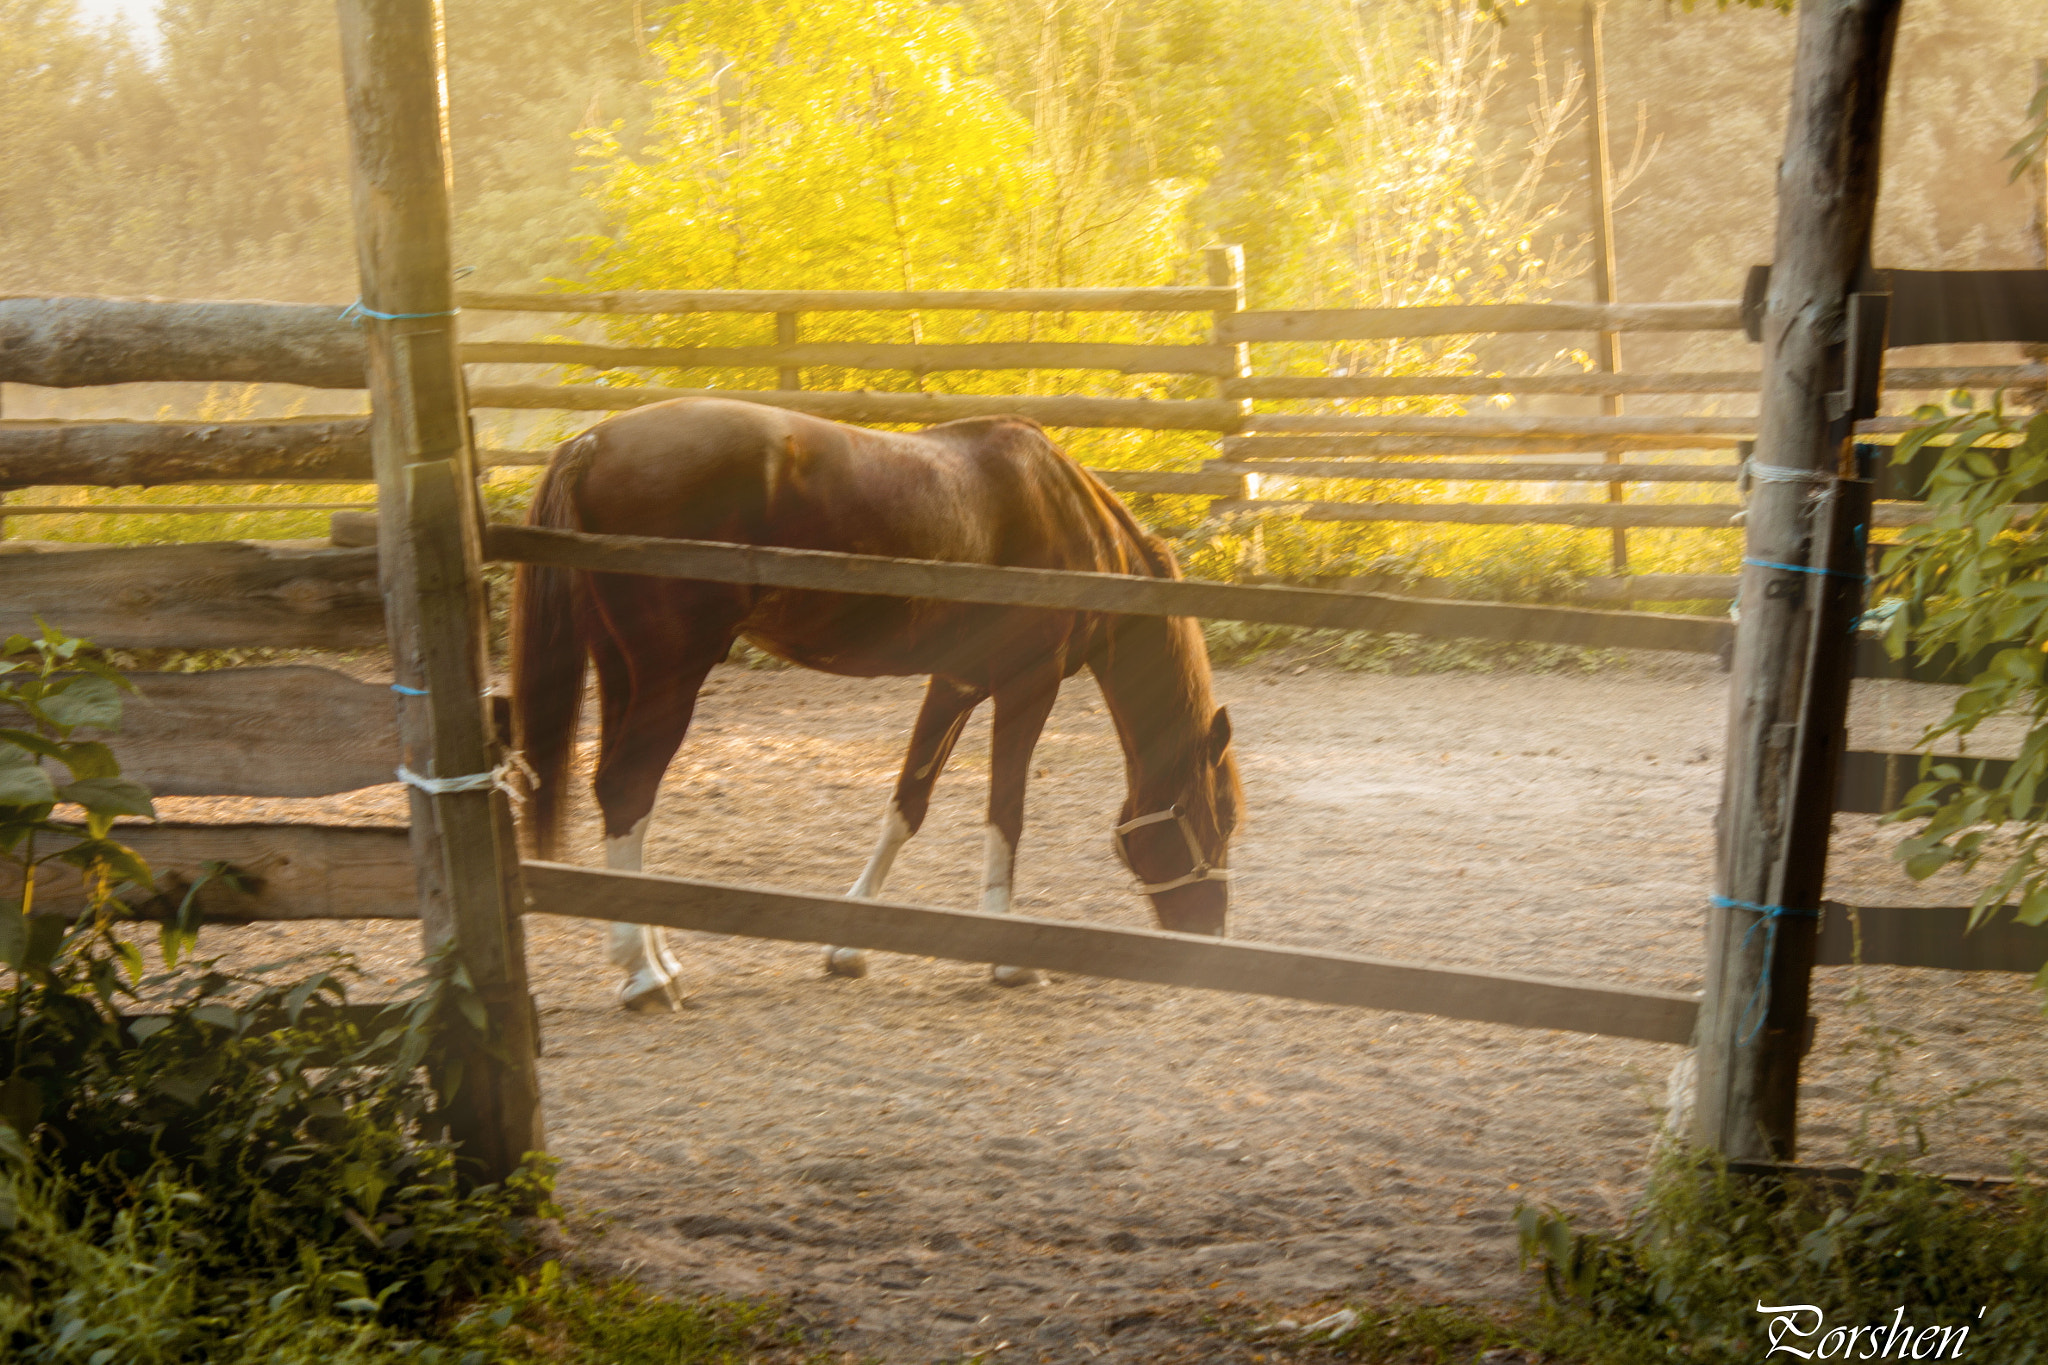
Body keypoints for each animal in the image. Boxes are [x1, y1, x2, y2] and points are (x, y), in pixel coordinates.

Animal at [511, 397, 1243, 1012]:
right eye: (1226, 814)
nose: (1210, 931)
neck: (1064, 510)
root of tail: (594, 440)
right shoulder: (1028, 683)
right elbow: (1005, 813)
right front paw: (1009, 960)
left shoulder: (955, 683)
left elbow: (905, 807)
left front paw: (850, 945)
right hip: (671, 672)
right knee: (629, 789)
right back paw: (643, 973)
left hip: (621, 671)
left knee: (618, 794)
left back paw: (657, 958)